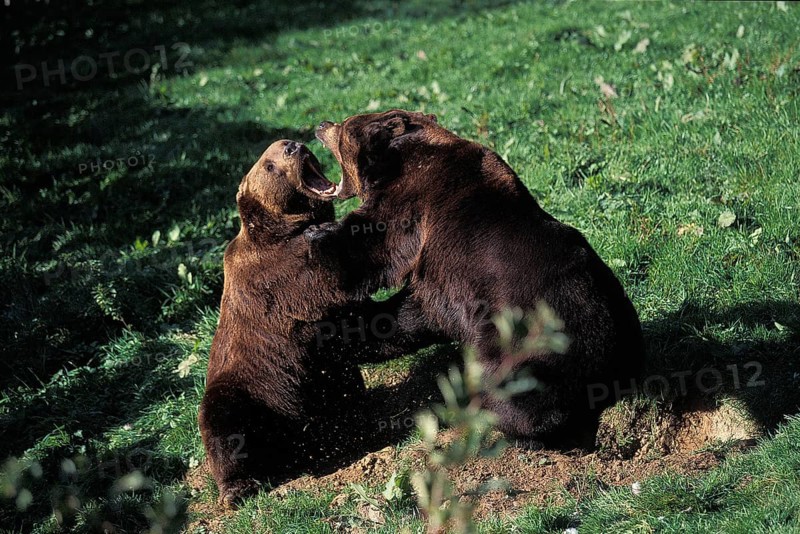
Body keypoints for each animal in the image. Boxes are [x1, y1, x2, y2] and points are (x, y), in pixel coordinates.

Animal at [199, 139, 436, 507]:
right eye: (269, 164)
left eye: (284, 145)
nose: (294, 146)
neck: (286, 229)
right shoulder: (278, 278)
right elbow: (332, 279)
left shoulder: (328, 326)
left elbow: (371, 328)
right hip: (250, 390)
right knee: (223, 420)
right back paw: (238, 487)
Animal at [308, 109, 645, 449]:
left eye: (345, 127)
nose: (321, 125)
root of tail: (615, 362)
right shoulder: (440, 283)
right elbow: (405, 316)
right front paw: (344, 334)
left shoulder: (412, 202)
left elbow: (369, 240)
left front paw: (317, 236)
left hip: (528, 339)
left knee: (519, 392)